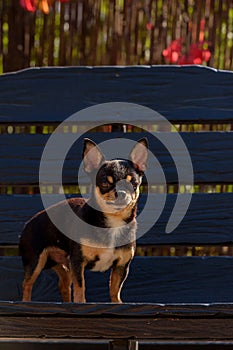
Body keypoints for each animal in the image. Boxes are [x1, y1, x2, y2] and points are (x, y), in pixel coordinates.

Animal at [19, 138, 148, 302]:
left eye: (133, 184)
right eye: (105, 183)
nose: (121, 193)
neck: (113, 221)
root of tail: (27, 224)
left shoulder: (121, 265)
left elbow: (115, 289)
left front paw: (117, 303)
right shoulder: (77, 261)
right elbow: (80, 287)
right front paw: (80, 303)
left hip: (58, 262)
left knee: (64, 283)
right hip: (36, 261)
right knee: (27, 284)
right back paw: (26, 301)